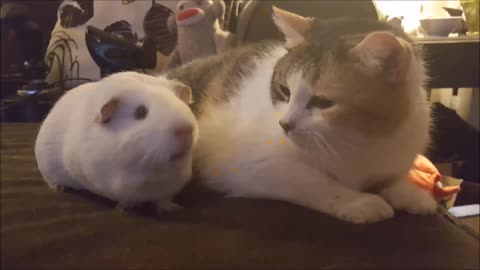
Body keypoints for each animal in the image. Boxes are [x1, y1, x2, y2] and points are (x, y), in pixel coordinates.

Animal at [167, 6, 436, 224]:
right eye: (284, 90)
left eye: (323, 102)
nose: (284, 124)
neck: (361, 140)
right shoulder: (246, 165)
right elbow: (312, 181)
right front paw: (358, 201)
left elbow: (393, 178)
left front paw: (411, 194)